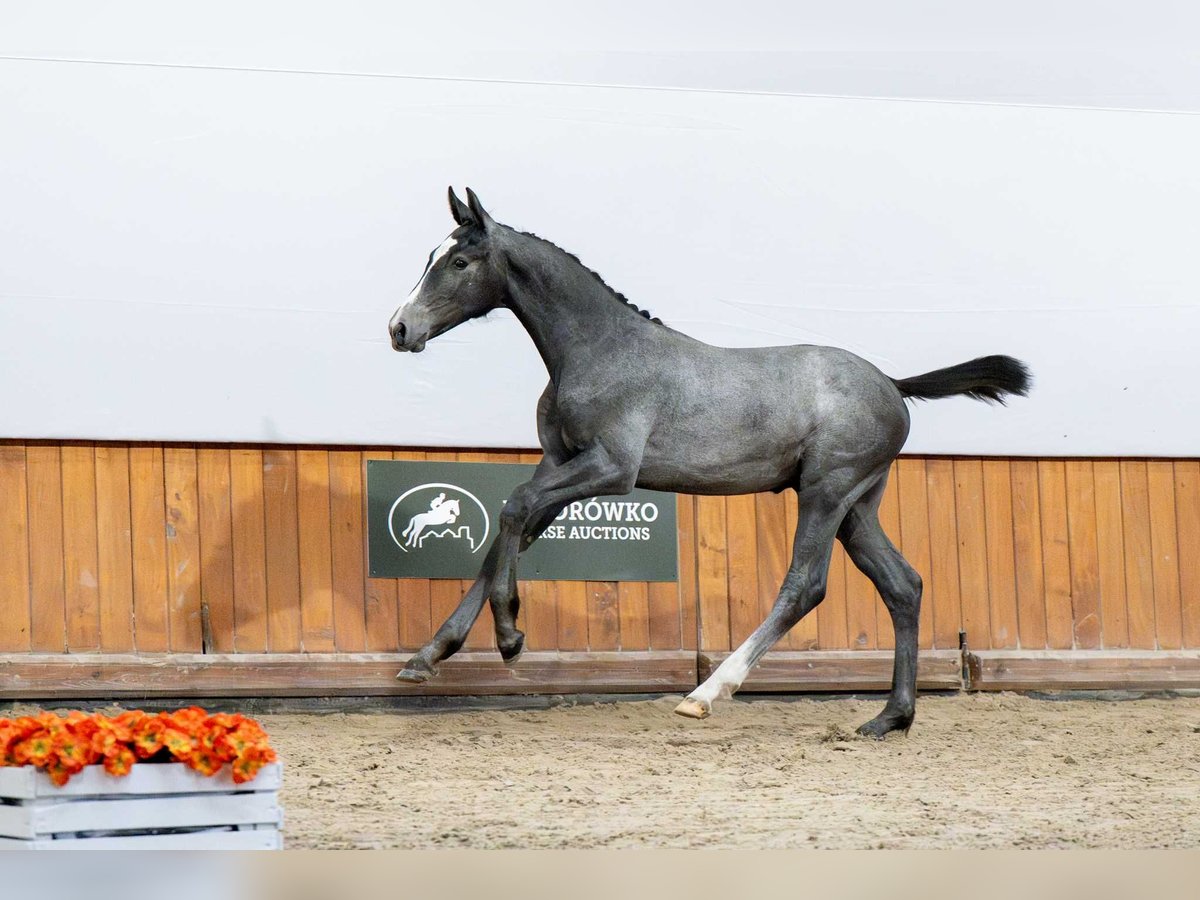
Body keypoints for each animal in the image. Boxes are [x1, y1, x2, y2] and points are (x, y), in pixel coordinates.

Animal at [388, 187, 1030, 737]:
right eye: (431, 256)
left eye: (460, 262)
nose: (399, 328)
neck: (599, 349)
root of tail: (894, 385)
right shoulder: (558, 463)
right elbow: (508, 530)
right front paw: (428, 656)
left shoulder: (611, 469)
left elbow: (515, 508)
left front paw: (510, 636)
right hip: (857, 505)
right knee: (903, 584)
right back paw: (889, 718)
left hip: (826, 491)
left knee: (806, 585)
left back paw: (706, 694)